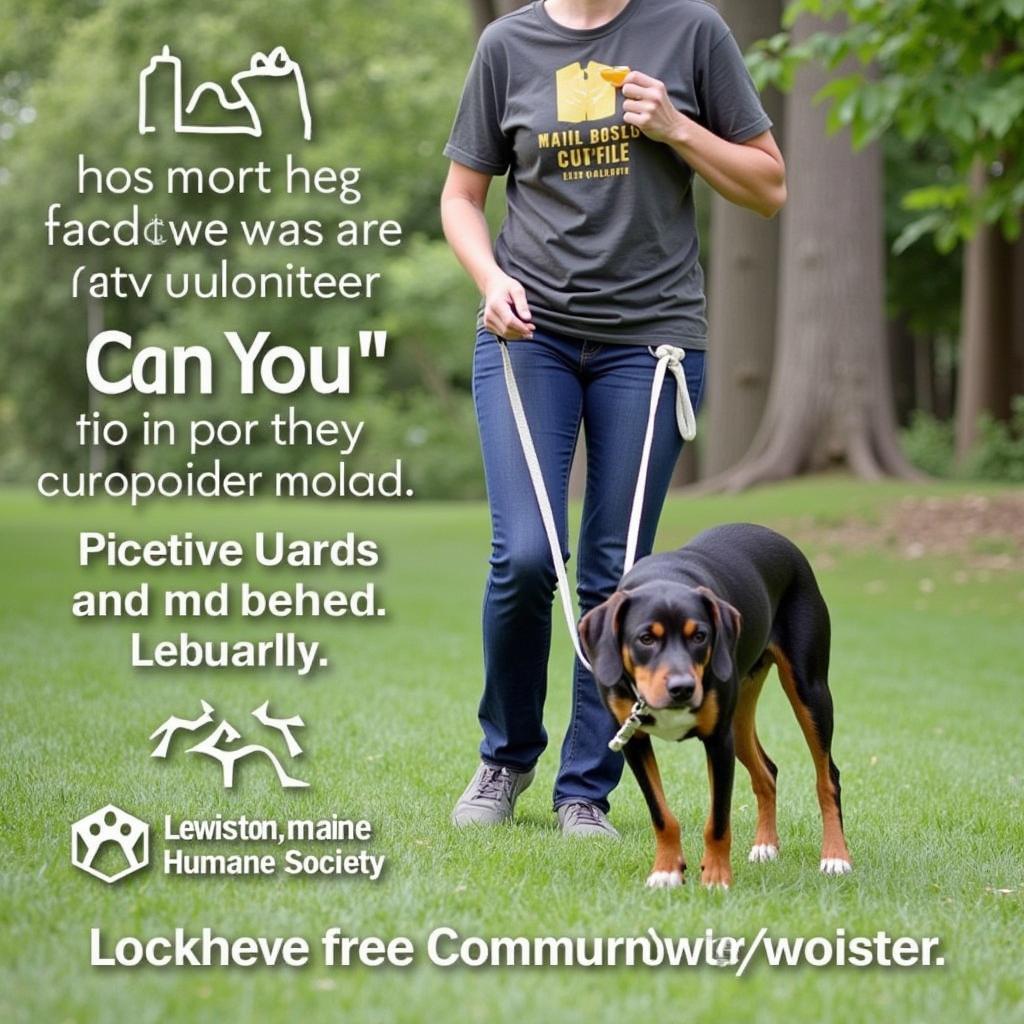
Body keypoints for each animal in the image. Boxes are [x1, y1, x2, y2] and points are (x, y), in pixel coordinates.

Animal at [581, 524, 851, 884]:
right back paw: (765, 846)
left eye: (700, 636)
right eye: (646, 638)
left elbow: (718, 821)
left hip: (809, 691)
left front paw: (716, 877)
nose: (682, 688)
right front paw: (666, 871)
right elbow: (661, 815)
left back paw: (835, 856)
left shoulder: (718, 740)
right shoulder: (633, 741)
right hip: (739, 715)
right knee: (767, 772)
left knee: (827, 777)